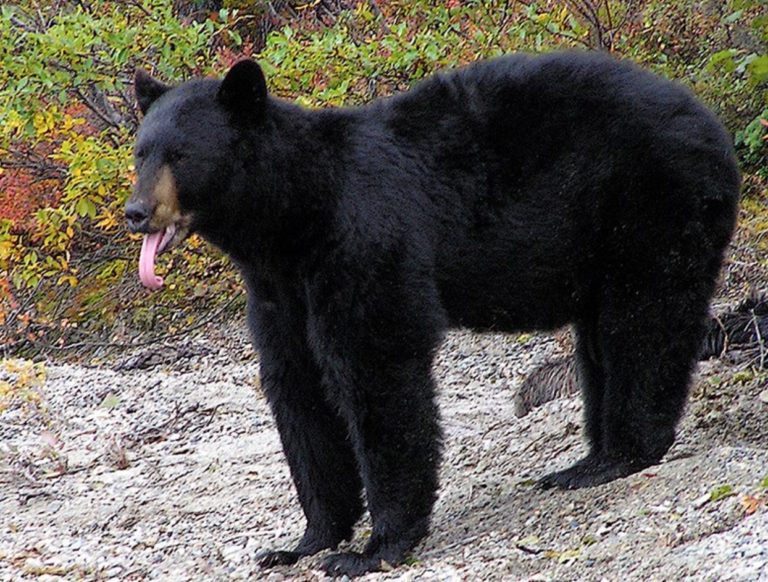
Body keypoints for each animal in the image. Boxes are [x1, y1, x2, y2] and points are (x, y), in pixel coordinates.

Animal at [125, 52, 740, 576]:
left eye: (180, 154)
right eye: (141, 151)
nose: (136, 211)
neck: (291, 219)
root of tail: (711, 124)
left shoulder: (364, 244)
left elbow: (377, 371)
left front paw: (373, 547)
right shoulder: (279, 291)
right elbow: (297, 390)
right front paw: (305, 540)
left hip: (650, 202)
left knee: (643, 320)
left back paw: (624, 454)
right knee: (602, 341)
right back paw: (587, 462)